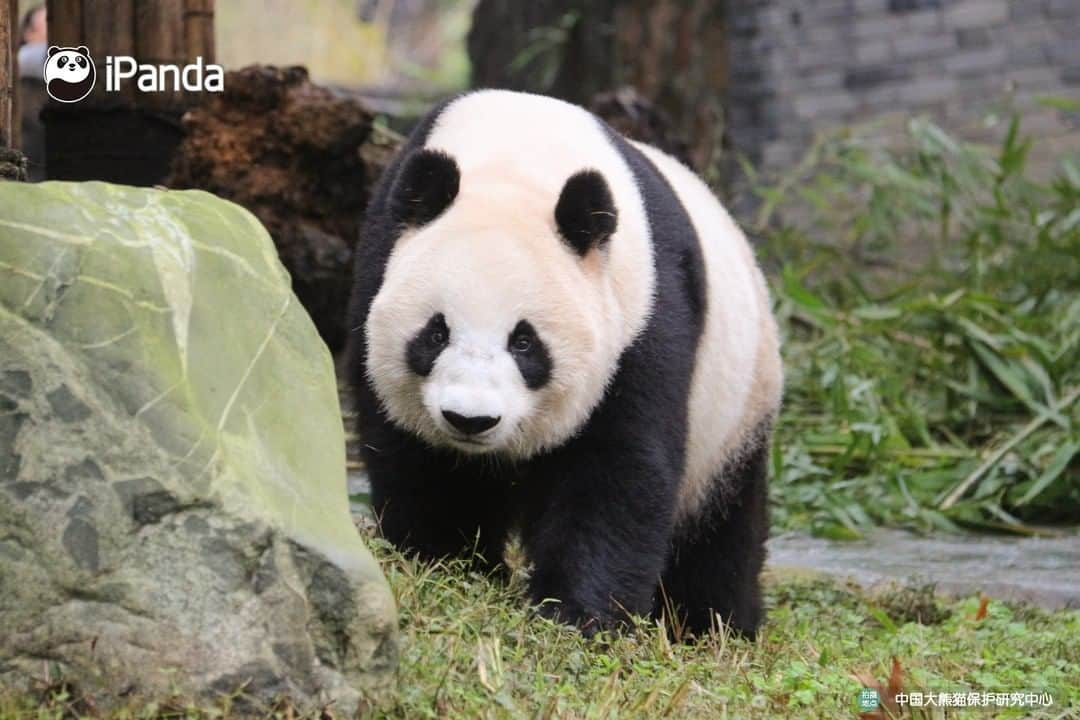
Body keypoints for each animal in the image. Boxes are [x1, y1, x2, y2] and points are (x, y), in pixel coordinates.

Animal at [349, 88, 781, 634]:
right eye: (436, 332)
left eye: (524, 342)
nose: (470, 420)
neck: (517, 153)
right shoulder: (377, 264)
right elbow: (418, 457)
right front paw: (444, 564)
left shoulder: (644, 320)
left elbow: (617, 470)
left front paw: (577, 614)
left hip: (735, 408)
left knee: (721, 531)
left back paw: (709, 623)